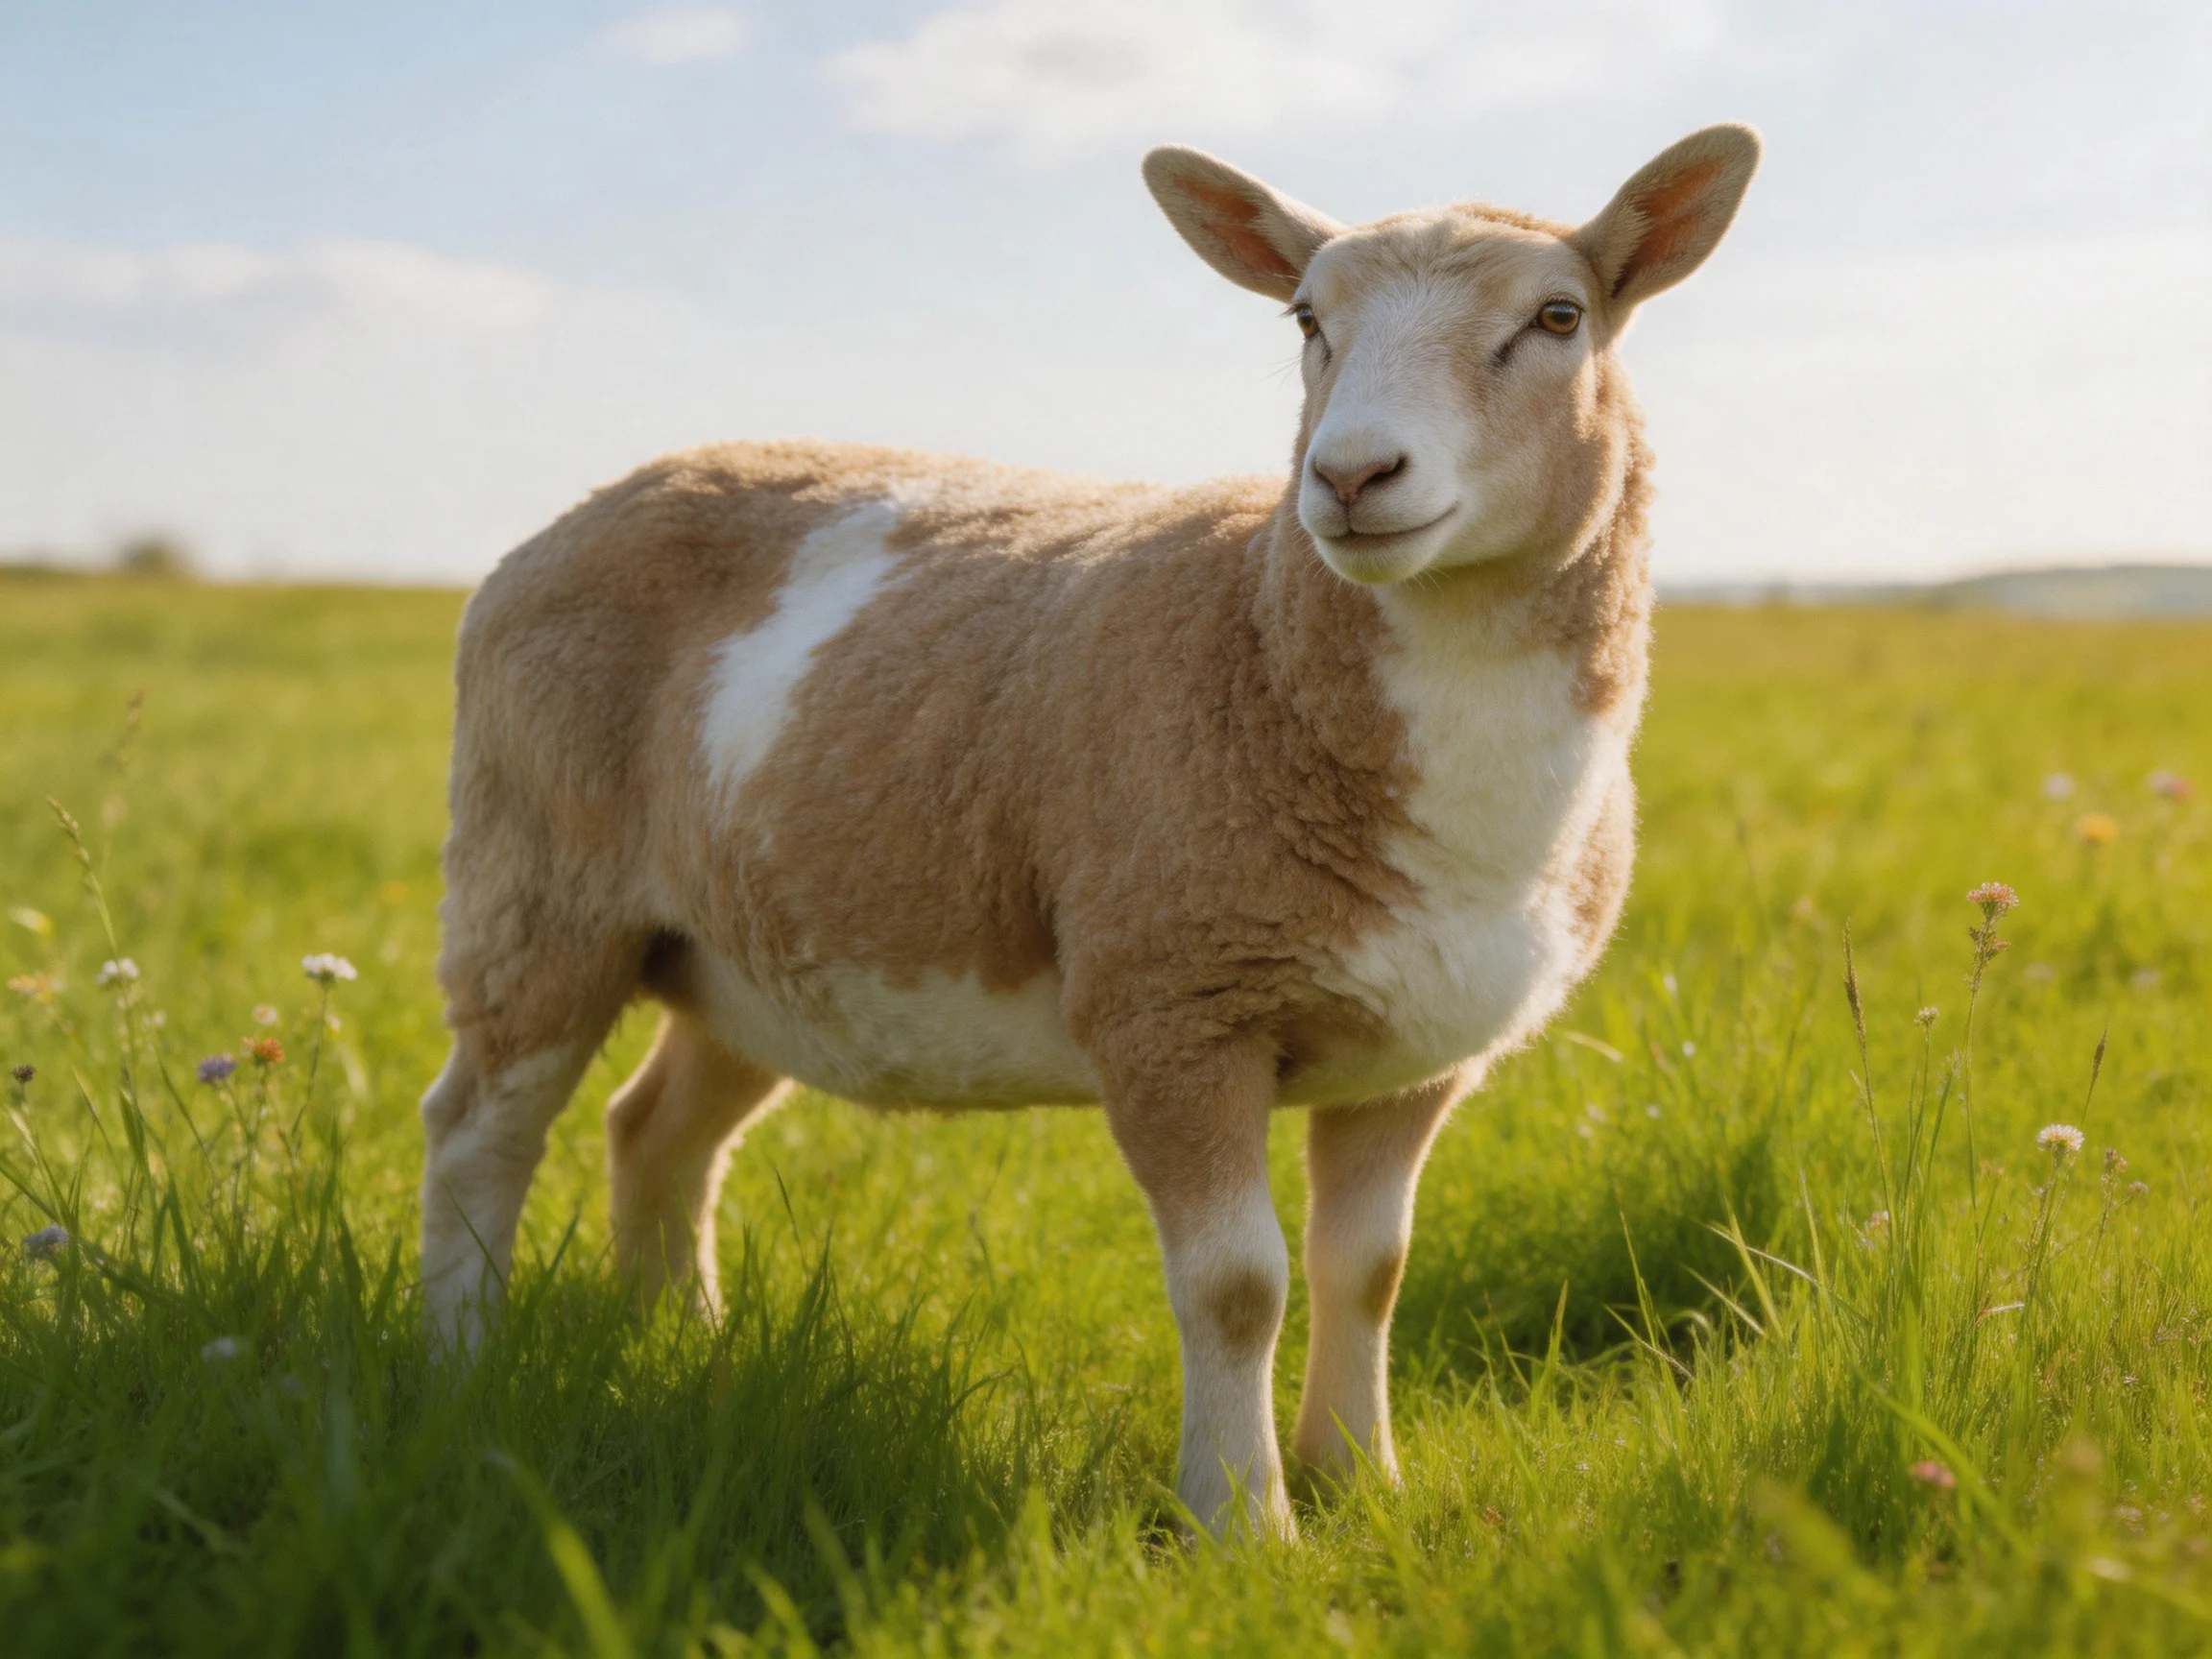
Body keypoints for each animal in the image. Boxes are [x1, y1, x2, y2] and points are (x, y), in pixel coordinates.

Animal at [419, 124, 1761, 1537]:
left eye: (1558, 318)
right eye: (1307, 320)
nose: (1350, 475)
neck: (1264, 636)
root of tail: (583, 509)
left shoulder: (1416, 1050)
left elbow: (1369, 1268)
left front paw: (1360, 1482)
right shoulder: (1170, 1004)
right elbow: (1241, 1285)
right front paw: (1245, 1523)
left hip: (746, 950)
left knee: (655, 1130)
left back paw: (678, 1346)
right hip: (537, 878)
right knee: (476, 1131)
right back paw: (462, 1370)